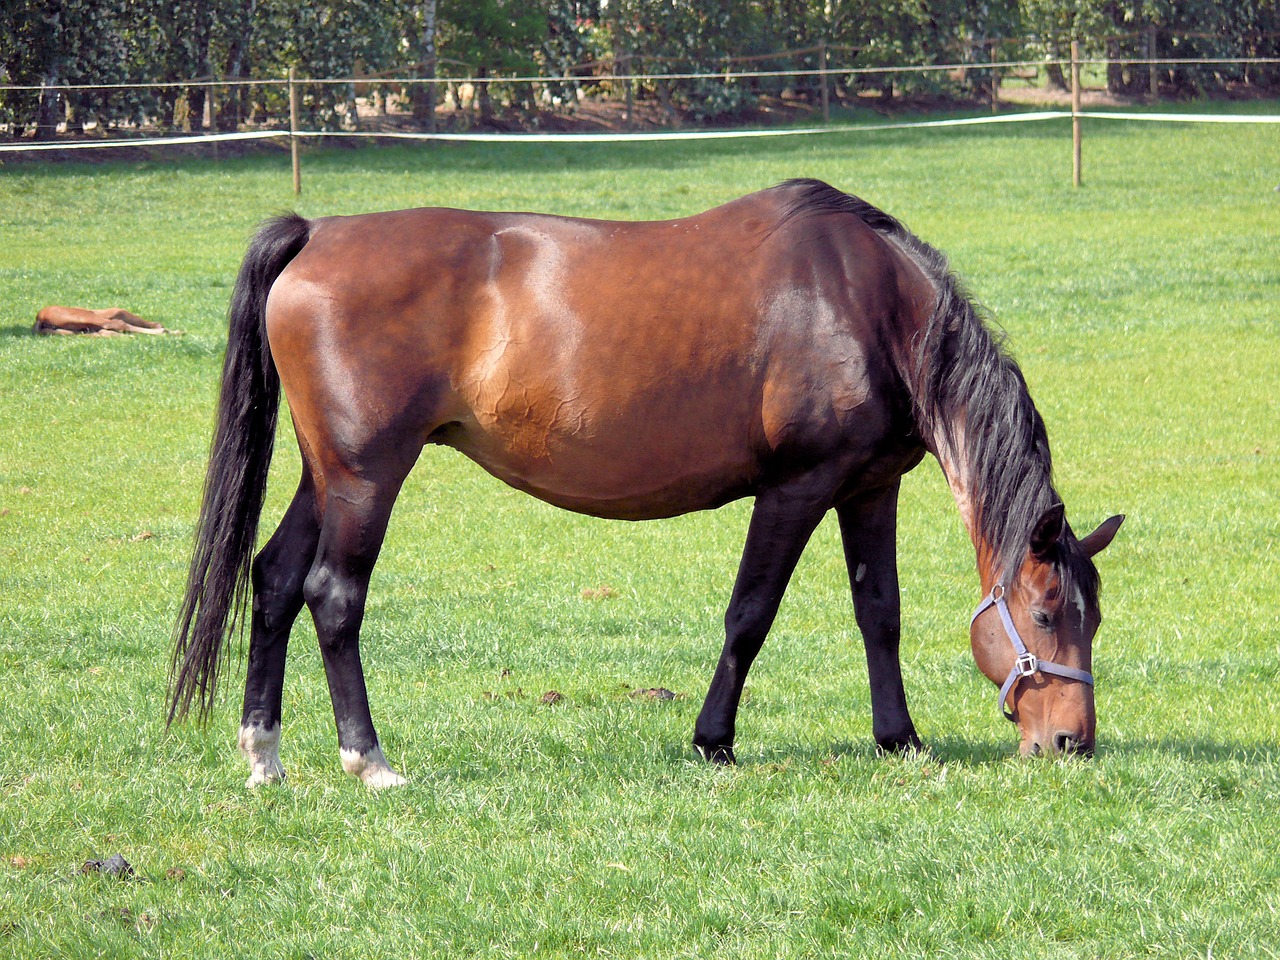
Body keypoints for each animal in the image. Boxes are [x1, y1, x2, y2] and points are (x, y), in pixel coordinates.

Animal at [167, 180, 1121, 788]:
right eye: (1045, 614)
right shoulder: (796, 487)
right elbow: (750, 615)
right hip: (368, 476)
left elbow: (878, 613)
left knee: (275, 579)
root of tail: (318, 232)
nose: (1071, 742)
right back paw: (369, 761)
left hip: (325, 472)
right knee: (333, 596)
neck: (869, 306)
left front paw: (900, 739)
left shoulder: (867, 488)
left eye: (1095, 617)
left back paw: (264, 755)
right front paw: (713, 742)